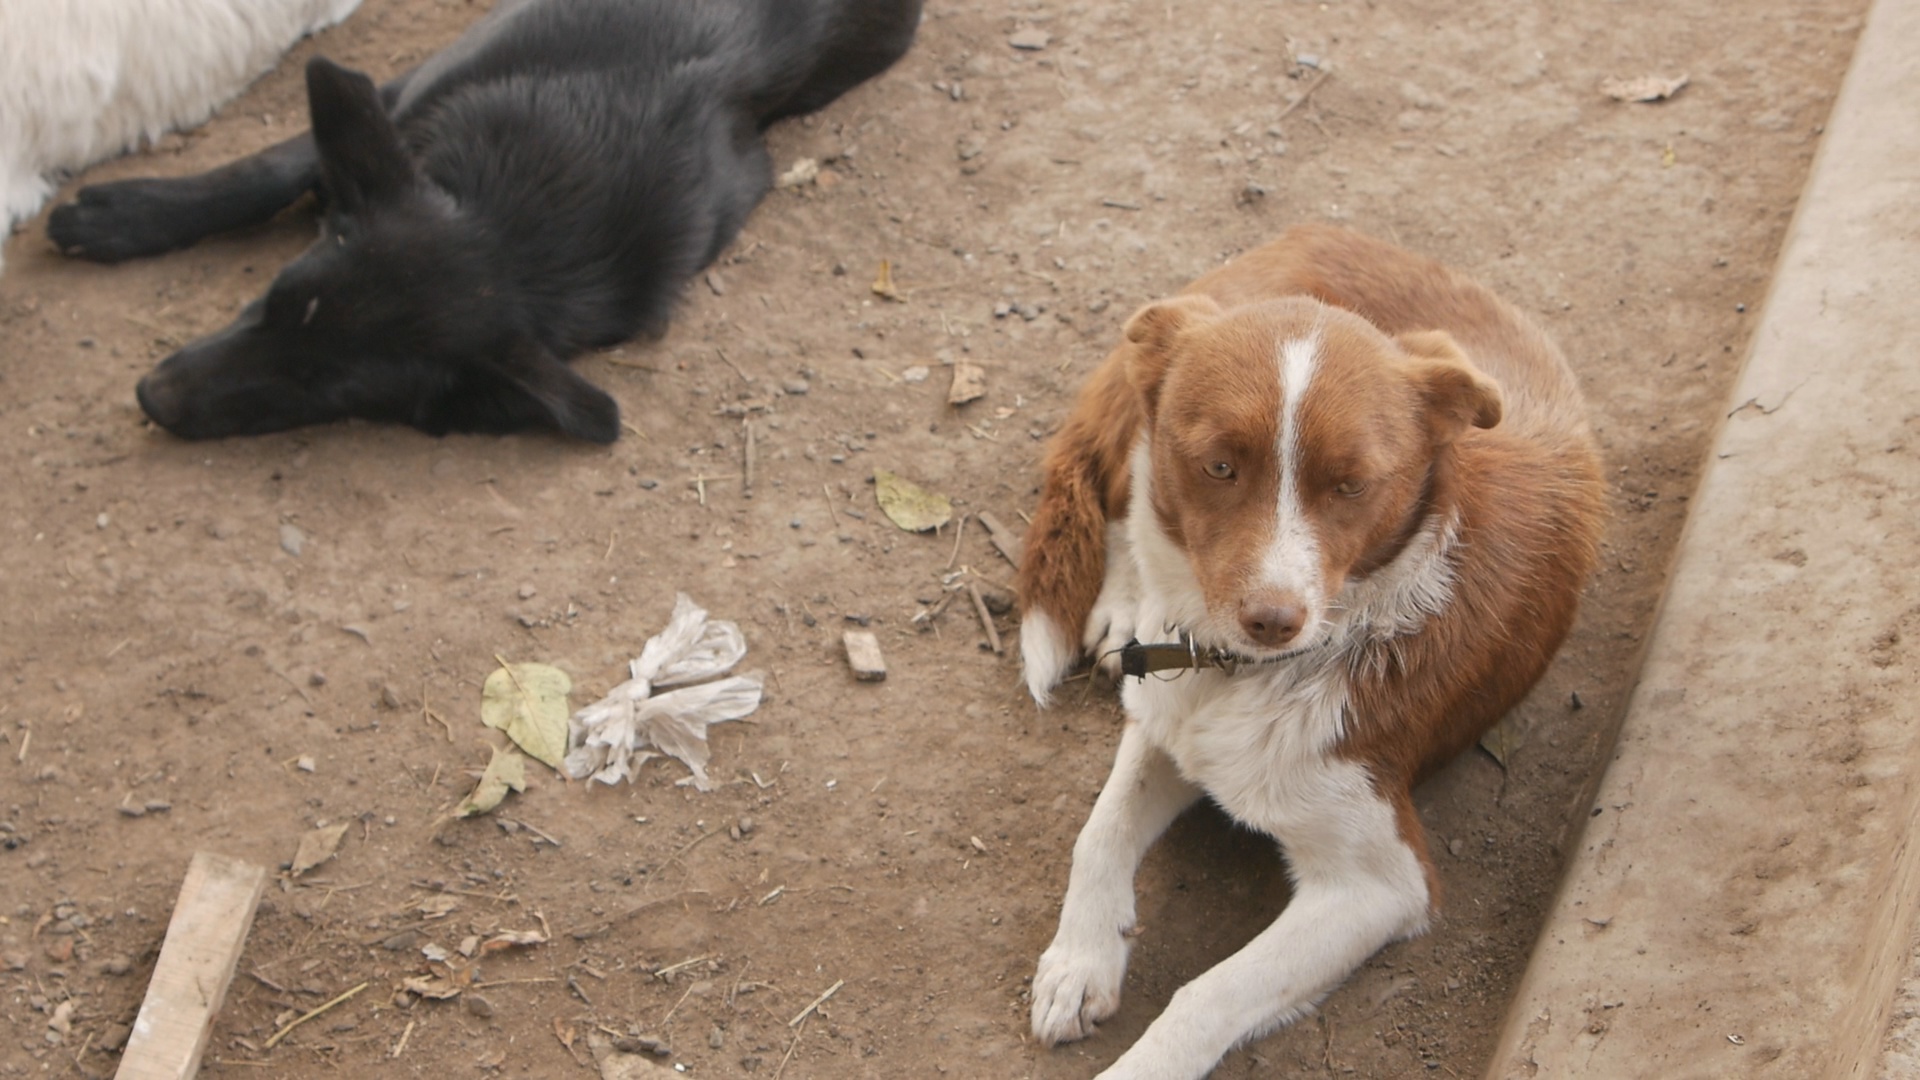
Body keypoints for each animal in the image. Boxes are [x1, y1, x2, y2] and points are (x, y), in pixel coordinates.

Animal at [56, 0, 925, 441]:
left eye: (324, 388)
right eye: (271, 299)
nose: (150, 398)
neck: (519, 220)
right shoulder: (407, 95)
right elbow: (269, 167)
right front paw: (122, 215)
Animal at [1021, 222, 1605, 1068]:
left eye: (1352, 484)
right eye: (1220, 465)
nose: (1273, 619)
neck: (1236, 674)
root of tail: (1324, 230)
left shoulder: (1381, 884)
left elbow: (1205, 996)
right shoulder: (1163, 715)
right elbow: (1099, 832)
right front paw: (1078, 961)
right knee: (1128, 498)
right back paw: (1122, 605)